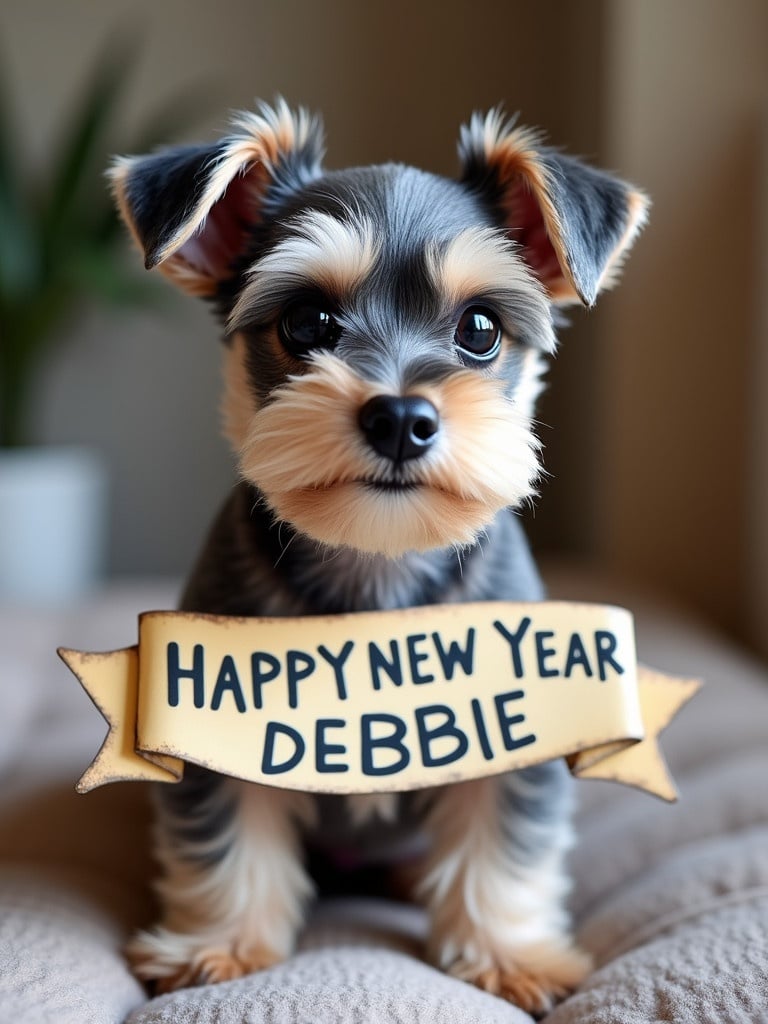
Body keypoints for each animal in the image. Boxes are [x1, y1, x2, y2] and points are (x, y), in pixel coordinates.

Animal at [109, 99, 651, 1011]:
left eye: (480, 330)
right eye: (306, 324)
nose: (400, 416)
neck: (376, 564)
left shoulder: (513, 720)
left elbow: (501, 840)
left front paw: (506, 955)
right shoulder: (214, 715)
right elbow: (226, 834)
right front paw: (220, 946)